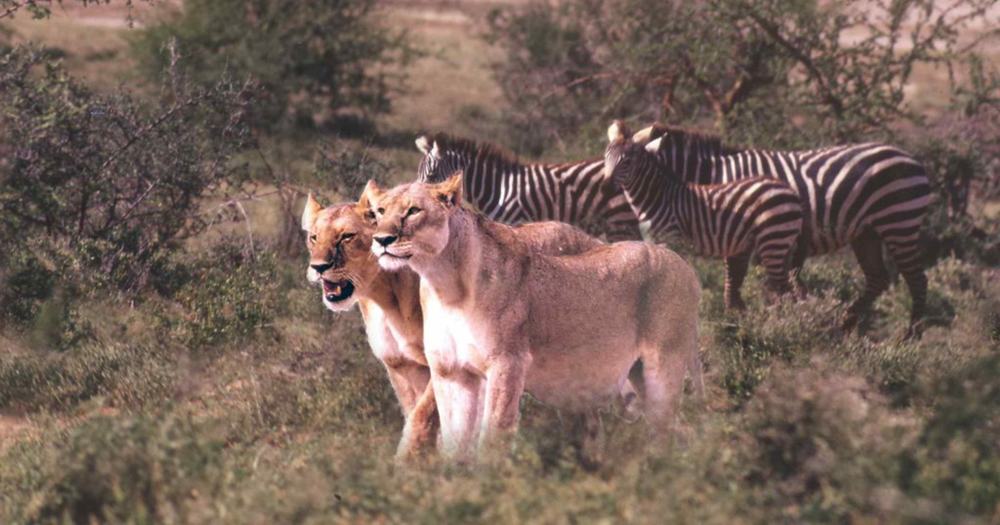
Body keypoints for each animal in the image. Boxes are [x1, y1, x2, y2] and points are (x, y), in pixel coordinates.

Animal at [301, 191, 620, 460]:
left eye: (346, 237)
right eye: (313, 238)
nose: (318, 267)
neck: (385, 296)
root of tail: (595, 241)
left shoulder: (442, 359)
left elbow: (422, 417)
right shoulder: (400, 366)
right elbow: (420, 413)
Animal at [362, 173, 703, 461]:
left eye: (413, 211)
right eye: (379, 211)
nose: (381, 240)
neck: (444, 284)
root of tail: (684, 264)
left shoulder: (507, 363)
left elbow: (493, 437)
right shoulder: (451, 372)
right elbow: (453, 442)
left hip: (664, 366)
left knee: (665, 431)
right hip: (638, 375)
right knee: (679, 430)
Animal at [604, 121, 804, 309]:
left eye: (627, 161)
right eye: (606, 158)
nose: (605, 188)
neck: (657, 198)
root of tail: (790, 191)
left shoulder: (672, 239)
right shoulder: (655, 242)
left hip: (774, 241)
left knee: (785, 293)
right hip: (779, 244)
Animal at [624, 122, 931, 338]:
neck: (713, 181)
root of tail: (914, 160)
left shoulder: (736, 232)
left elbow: (734, 282)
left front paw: (738, 327)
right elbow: (733, 285)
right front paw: (738, 323)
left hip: (898, 222)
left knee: (917, 280)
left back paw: (909, 338)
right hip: (866, 232)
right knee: (877, 278)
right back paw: (844, 327)